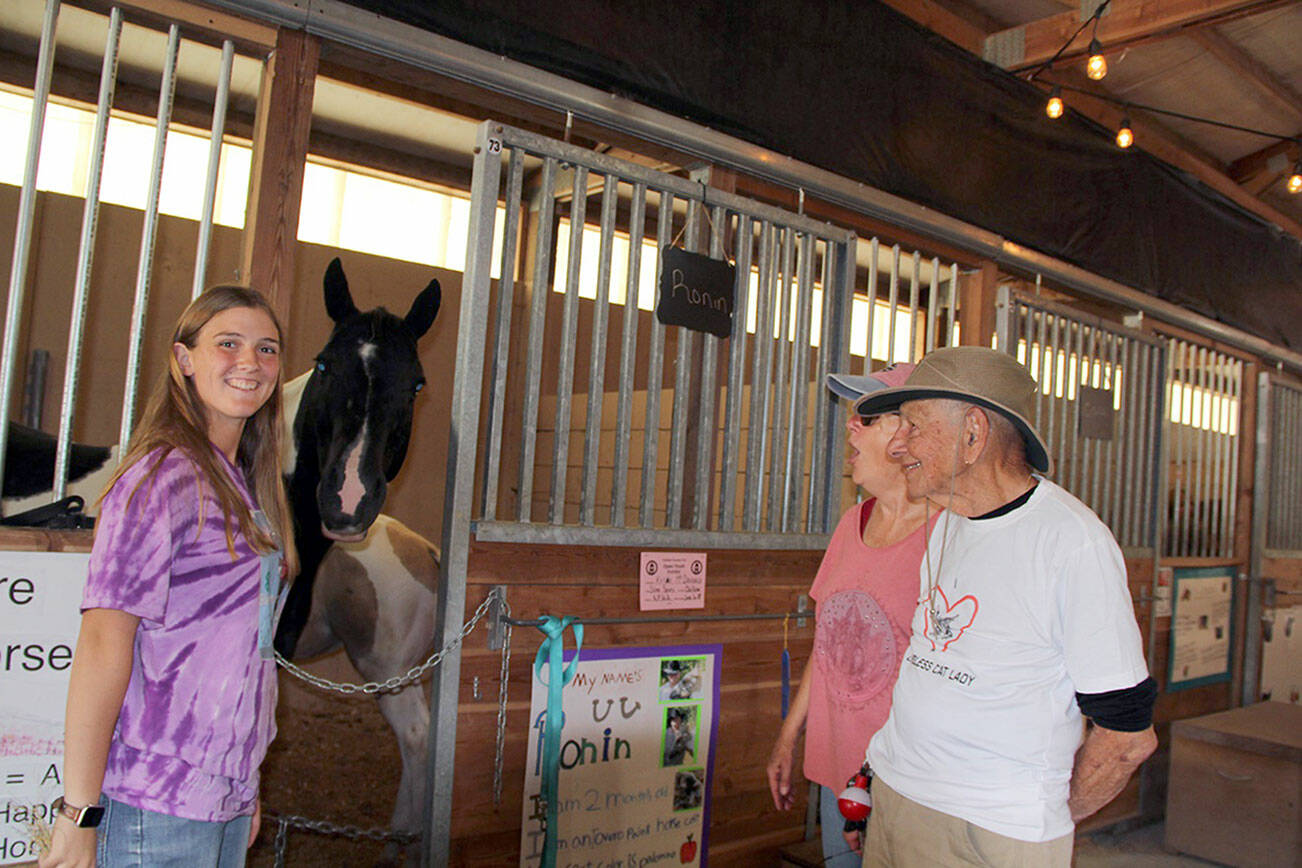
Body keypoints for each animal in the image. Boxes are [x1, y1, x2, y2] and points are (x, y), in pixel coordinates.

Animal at [3, 255, 442, 858]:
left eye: (416, 383)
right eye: (324, 365)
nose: (347, 499)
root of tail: (426, 552)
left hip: (389, 670)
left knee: (417, 737)